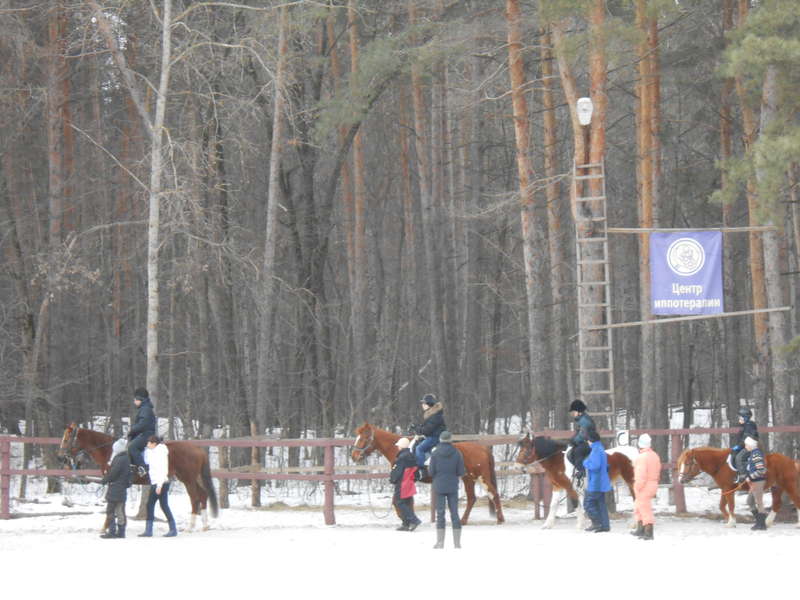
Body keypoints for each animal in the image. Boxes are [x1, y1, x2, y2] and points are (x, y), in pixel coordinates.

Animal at [58, 422, 219, 528]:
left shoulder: (114, 482)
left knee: (195, 499)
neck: (111, 451)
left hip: (188, 479)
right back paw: (205, 525)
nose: (61, 458)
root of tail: (197, 449)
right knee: (203, 495)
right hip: (194, 479)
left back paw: (191, 526)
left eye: (66, 439)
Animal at [352, 422, 506, 524]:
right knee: (472, 498)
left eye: (364, 438)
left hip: (481, 477)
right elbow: (407, 500)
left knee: (494, 494)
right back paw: (463, 520)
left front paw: (405, 518)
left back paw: (500, 519)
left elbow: (398, 501)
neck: (400, 449)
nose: (354, 456)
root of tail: (483, 448)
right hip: (468, 478)